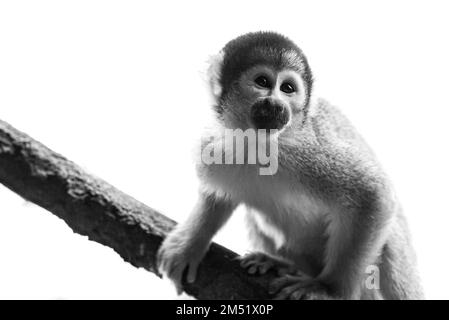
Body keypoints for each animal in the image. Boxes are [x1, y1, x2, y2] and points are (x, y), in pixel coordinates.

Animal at [157, 31, 424, 298]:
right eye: (262, 82)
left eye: (287, 88)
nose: (275, 104)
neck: (257, 143)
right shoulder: (212, 148)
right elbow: (218, 195)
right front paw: (192, 242)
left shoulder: (307, 152)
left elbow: (372, 194)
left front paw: (329, 289)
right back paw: (282, 264)